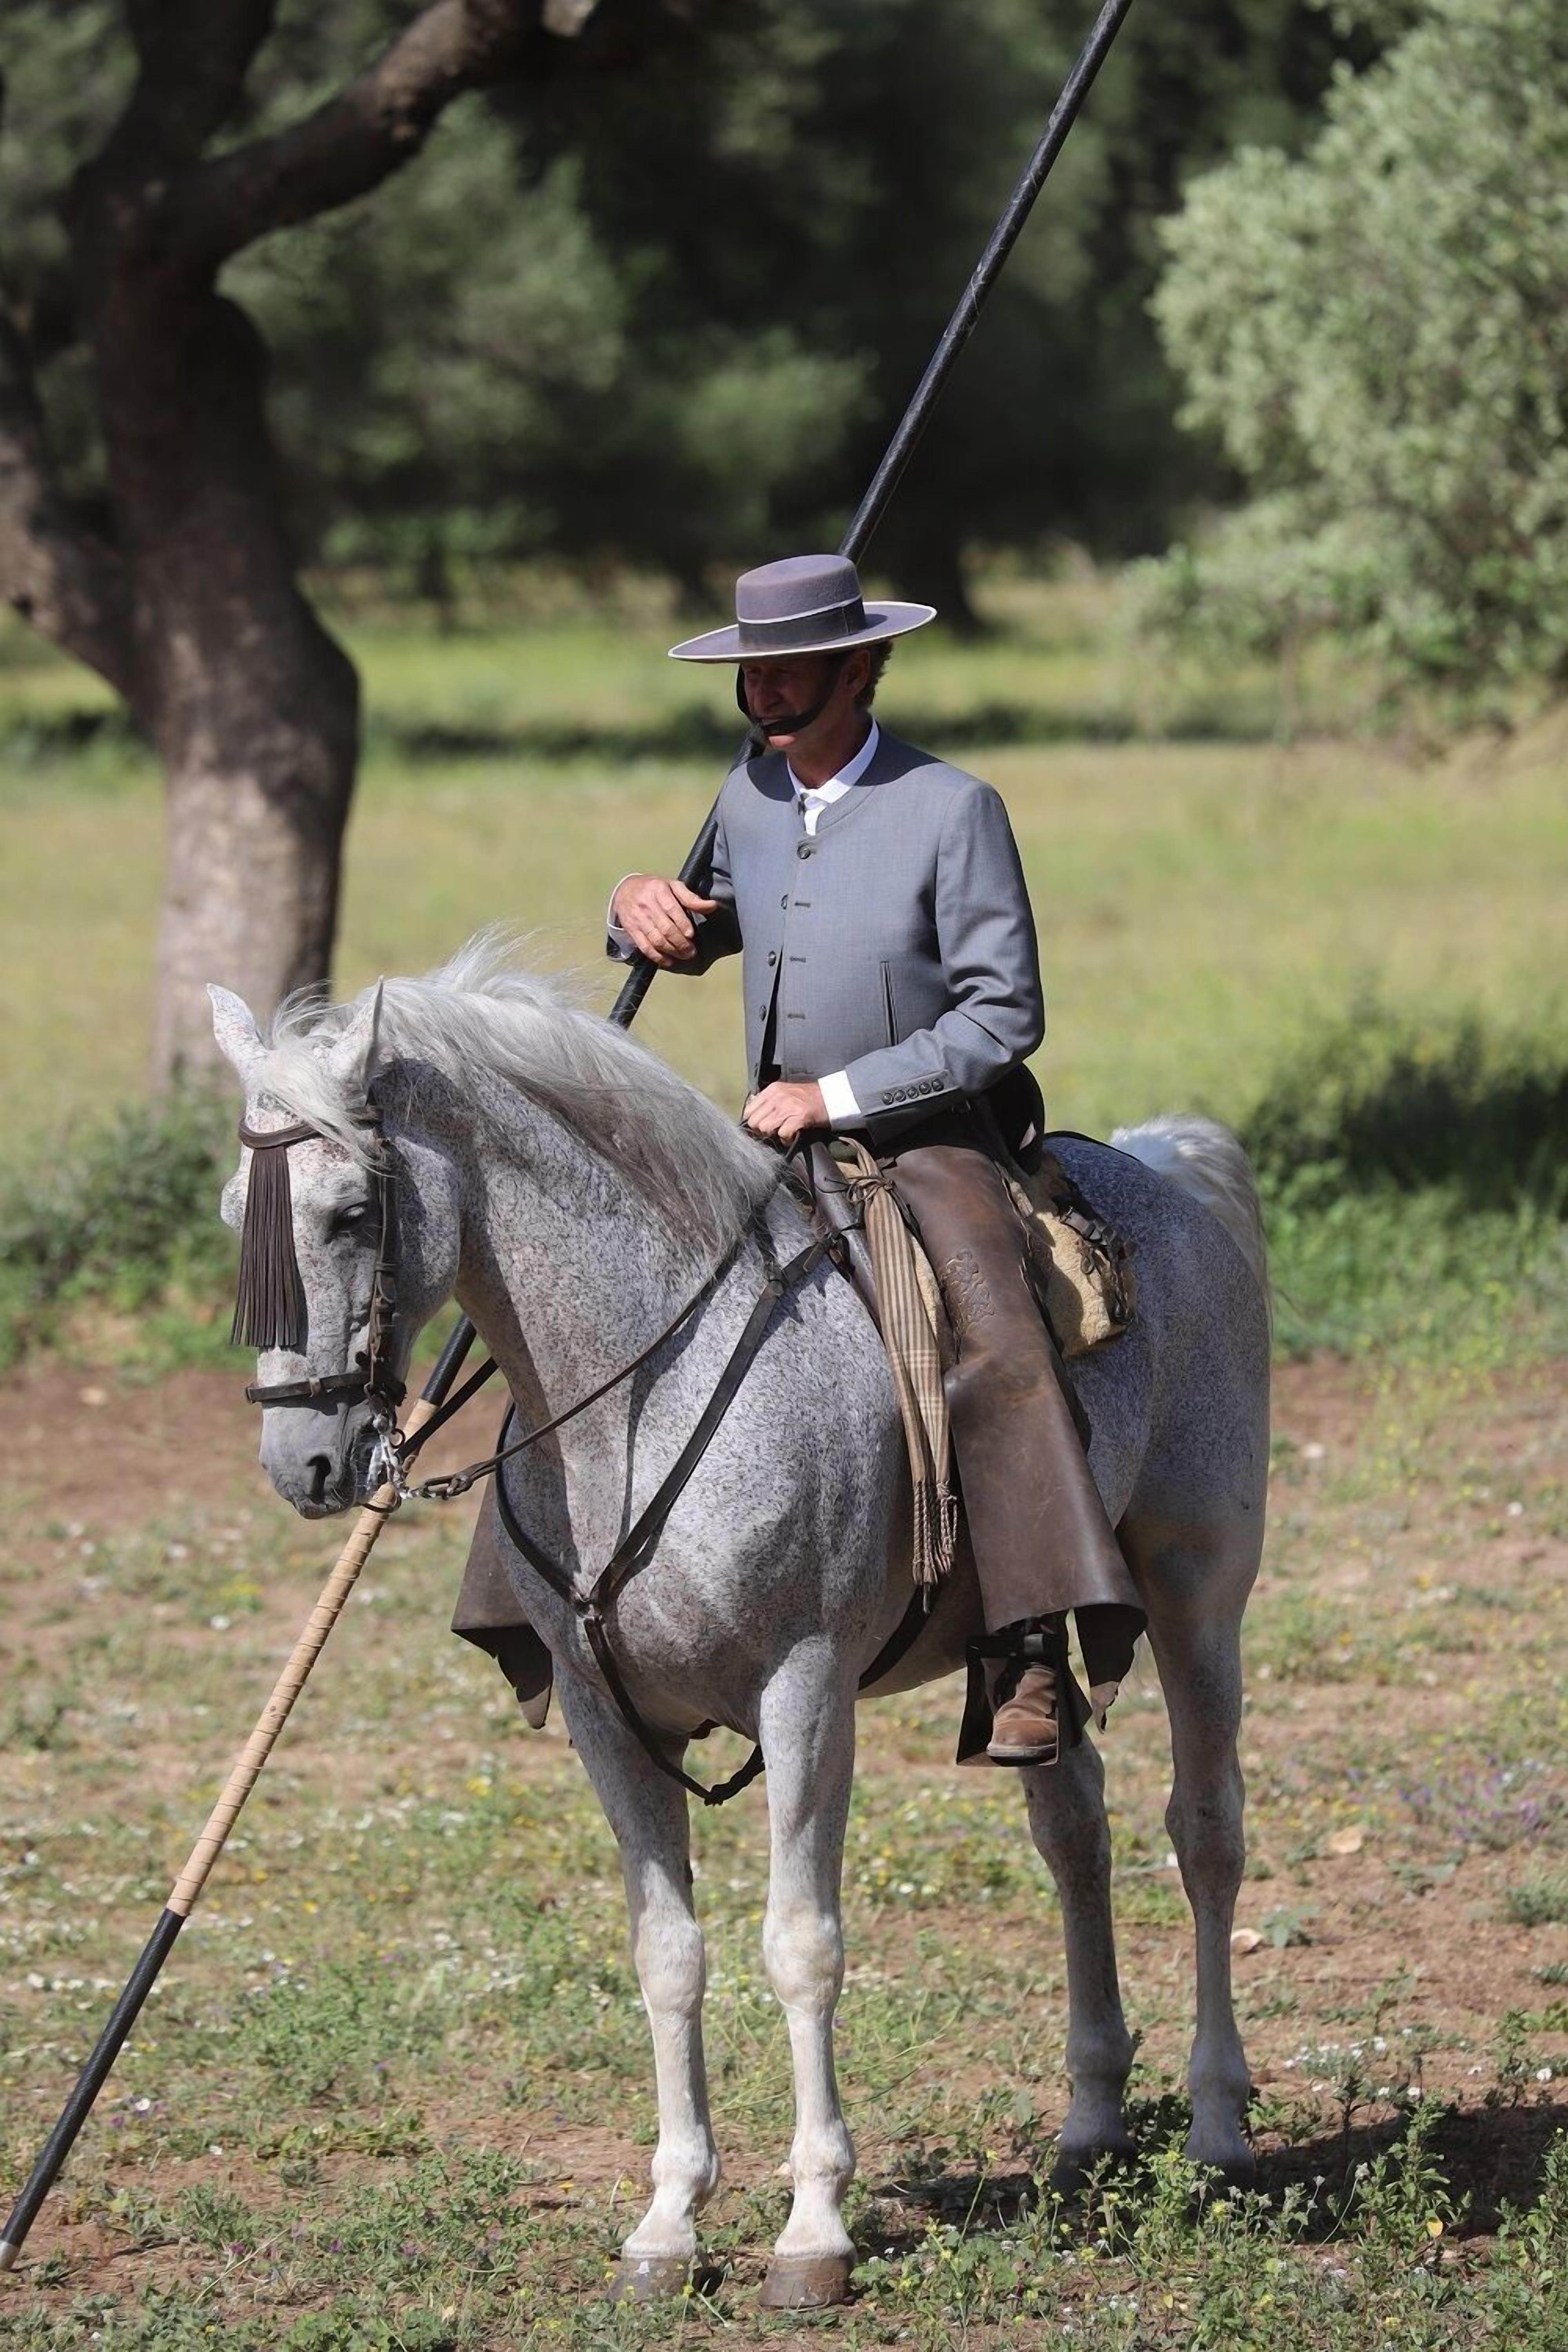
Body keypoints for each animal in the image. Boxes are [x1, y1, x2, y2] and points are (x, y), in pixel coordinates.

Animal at [209, 938, 1270, 2309]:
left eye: (349, 1212)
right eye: (236, 1213)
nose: (305, 1462)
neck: (640, 1391)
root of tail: (1167, 1165)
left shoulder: (804, 1690)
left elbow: (800, 1944)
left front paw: (813, 2227)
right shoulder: (605, 1718)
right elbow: (668, 1951)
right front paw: (668, 2220)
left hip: (1201, 1594)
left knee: (1204, 1831)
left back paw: (1218, 2126)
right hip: (1029, 1649)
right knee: (1072, 1829)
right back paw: (1090, 2120)